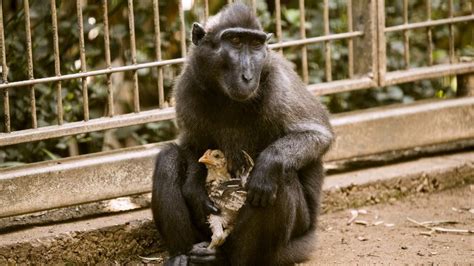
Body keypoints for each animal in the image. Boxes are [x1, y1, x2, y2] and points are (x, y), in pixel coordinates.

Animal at [152, 2, 334, 266]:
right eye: (236, 41)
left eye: (256, 44)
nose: (248, 76)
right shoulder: (187, 86)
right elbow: (192, 146)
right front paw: (194, 188)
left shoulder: (280, 81)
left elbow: (318, 134)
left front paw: (268, 163)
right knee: (168, 157)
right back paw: (180, 255)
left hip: (297, 229)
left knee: (278, 177)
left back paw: (224, 258)